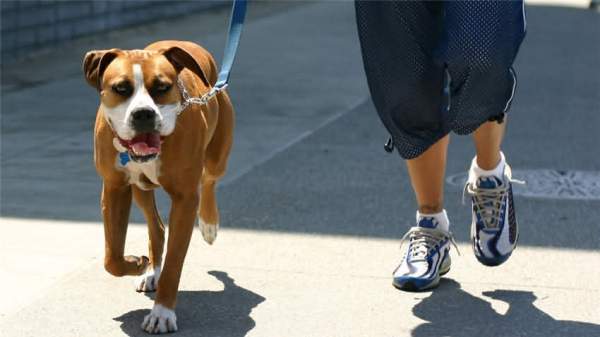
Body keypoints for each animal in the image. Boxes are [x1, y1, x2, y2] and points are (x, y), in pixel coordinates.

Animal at [83, 40, 233, 332]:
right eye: (121, 88)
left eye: (162, 87)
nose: (143, 113)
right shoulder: (114, 189)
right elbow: (112, 257)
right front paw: (136, 263)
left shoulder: (185, 199)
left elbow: (175, 263)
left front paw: (162, 313)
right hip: (140, 189)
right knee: (157, 227)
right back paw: (151, 271)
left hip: (217, 157)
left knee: (209, 180)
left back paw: (209, 224)